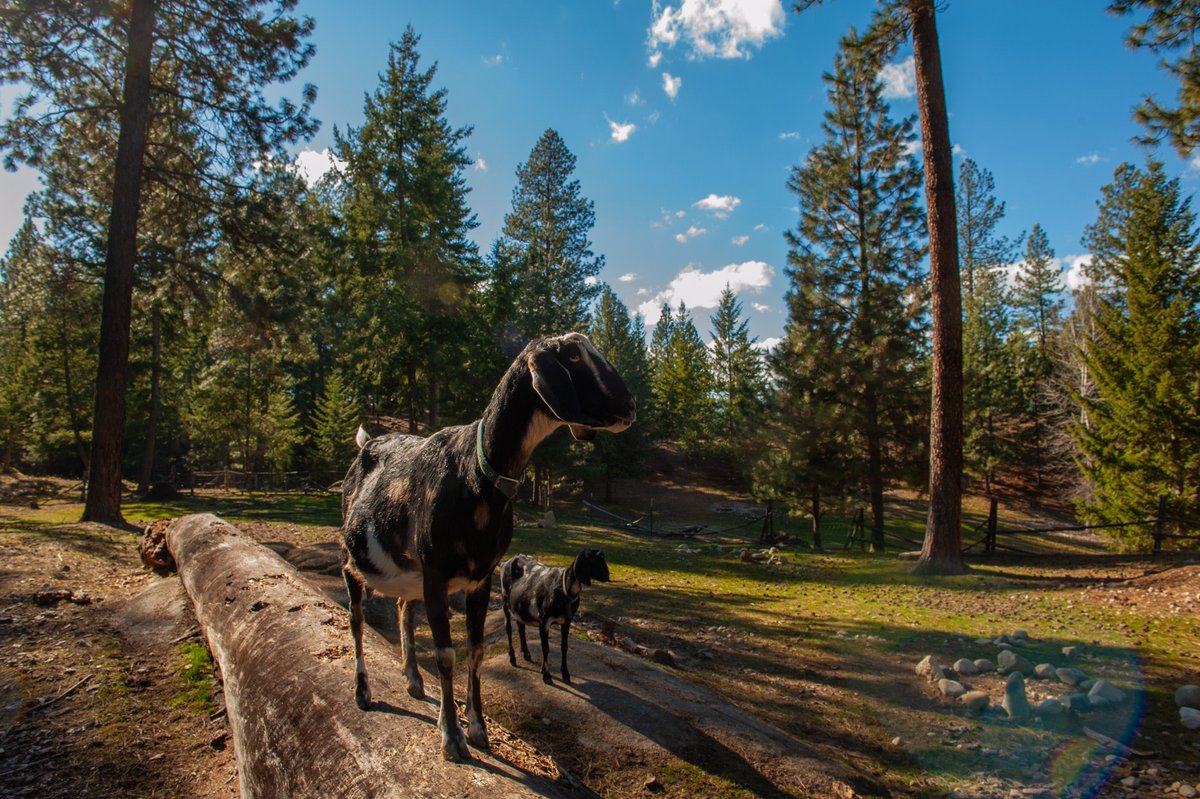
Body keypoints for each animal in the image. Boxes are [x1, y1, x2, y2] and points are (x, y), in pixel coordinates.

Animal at [499, 547, 609, 686]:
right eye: (592, 558)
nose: (607, 576)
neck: (563, 588)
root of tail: (505, 562)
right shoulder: (544, 621)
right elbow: (546, 648)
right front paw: (546, 675)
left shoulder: (566, 621)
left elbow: (564, 647)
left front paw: (565, 674)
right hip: (505, 603)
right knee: (508, 628)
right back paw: (512, 658)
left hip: (520, 607)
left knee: (520, 626)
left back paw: (526, 653)